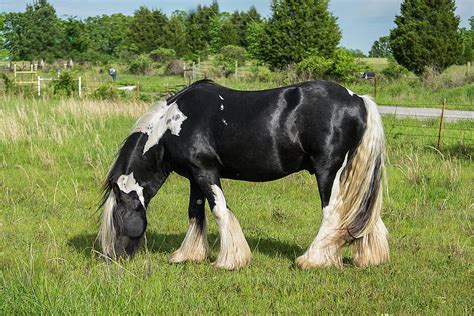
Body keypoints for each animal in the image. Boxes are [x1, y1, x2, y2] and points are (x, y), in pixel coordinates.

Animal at [97, 79, 388, 270]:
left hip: (328, 171)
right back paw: (369, 258)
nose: (112, 258)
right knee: (364, 213)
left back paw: (312, 260)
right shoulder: (194, 176)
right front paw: (188, 256)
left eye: (118, 217)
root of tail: (358, 99)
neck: (172, 125)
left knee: (333, 213)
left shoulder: (206, 172)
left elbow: (219, 211)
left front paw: (229, 261)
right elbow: (195, 213)